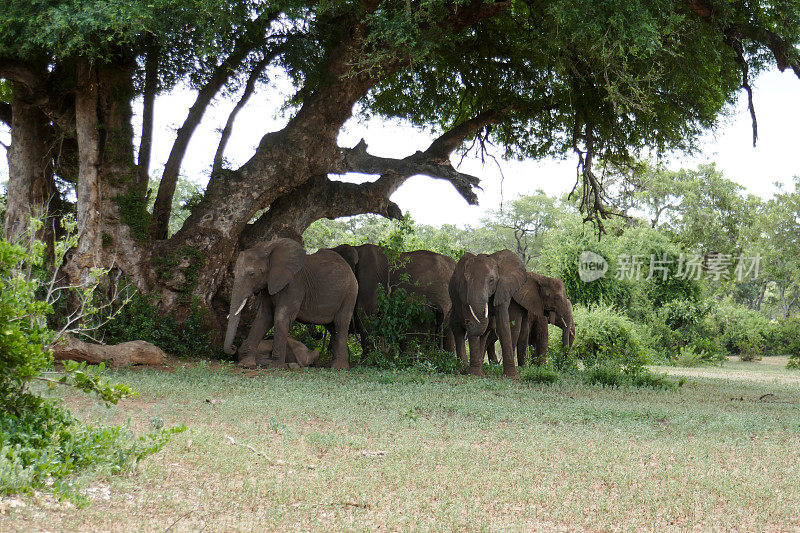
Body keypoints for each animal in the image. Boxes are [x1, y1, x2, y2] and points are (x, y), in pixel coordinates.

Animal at [220, 238, 354, 368]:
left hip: (350, 293)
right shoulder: (269, 285)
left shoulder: (294, 284)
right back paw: (331, 365)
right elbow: (264, 317)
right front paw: (246, 364)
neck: (268, 249)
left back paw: (338, 367)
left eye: (252, 274)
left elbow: (281, 316)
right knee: (332, 327)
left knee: (340, 324)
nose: (233, 348)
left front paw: (277, 367)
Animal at [446, 250, 528, 378]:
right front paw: (475, 375)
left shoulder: (502, 289)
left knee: (484, 334)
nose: (468, 321)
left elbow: (503, 325)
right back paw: (463, 368)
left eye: (491, 280)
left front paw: (512, 376)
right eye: (466, 279)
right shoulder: (464, 293)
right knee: (458, 330)